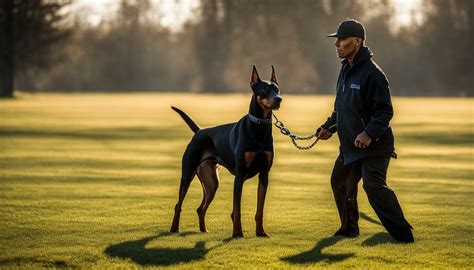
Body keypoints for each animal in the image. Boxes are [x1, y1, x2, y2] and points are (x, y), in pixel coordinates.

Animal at [170, 66, 282, 237]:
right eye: (264, 89)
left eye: (277, 89)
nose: (279, 99)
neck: (259, 127)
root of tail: (199, 131)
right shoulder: (240, 175)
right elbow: (237, 209)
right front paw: (237, 233)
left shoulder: (264, 175)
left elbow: (260, 209)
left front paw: (261, 232)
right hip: (188, 173)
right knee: (178, 204)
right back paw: (174, 228)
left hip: (211, 182)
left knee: (200, 208)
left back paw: (203, 230)